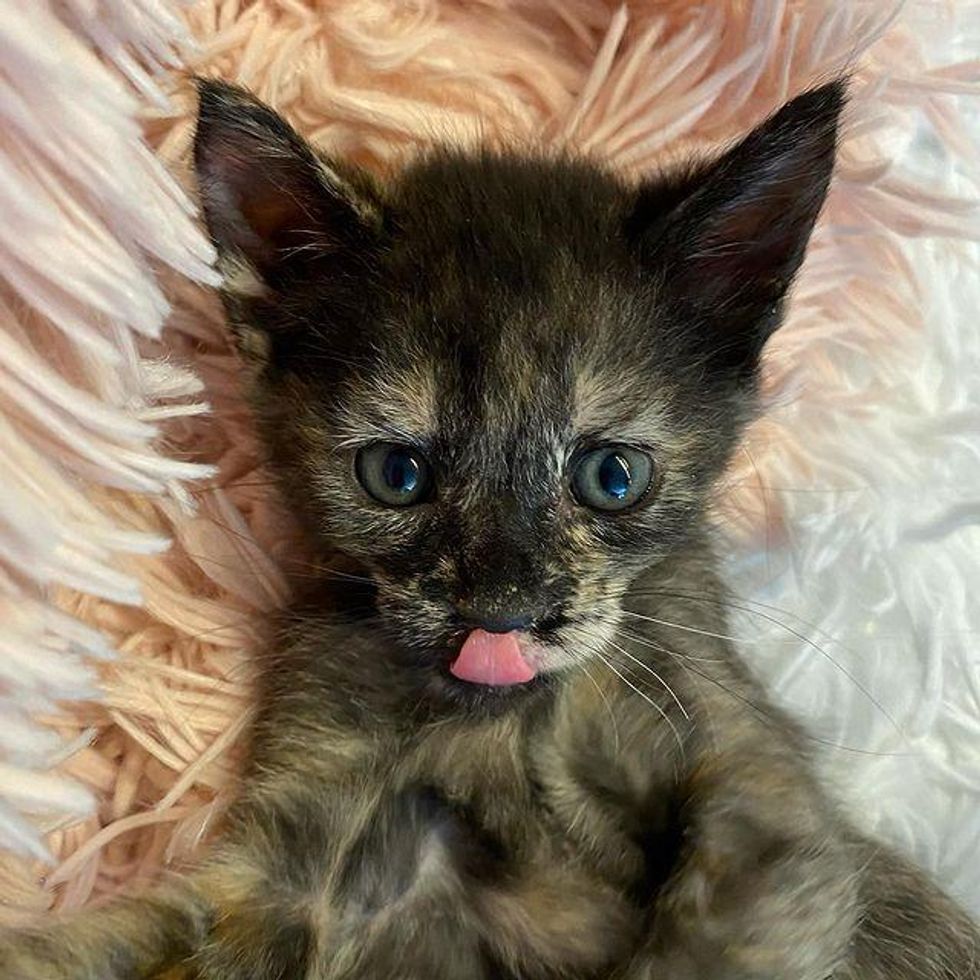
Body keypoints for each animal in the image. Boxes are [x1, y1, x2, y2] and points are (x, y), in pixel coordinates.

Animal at [3, 78, 976, 980]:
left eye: (612, 477)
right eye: (395, 475)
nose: (502, 615)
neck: (495, 722)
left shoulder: (762, 804)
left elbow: (704, 947)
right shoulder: (287, 861)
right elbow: (133, 936)